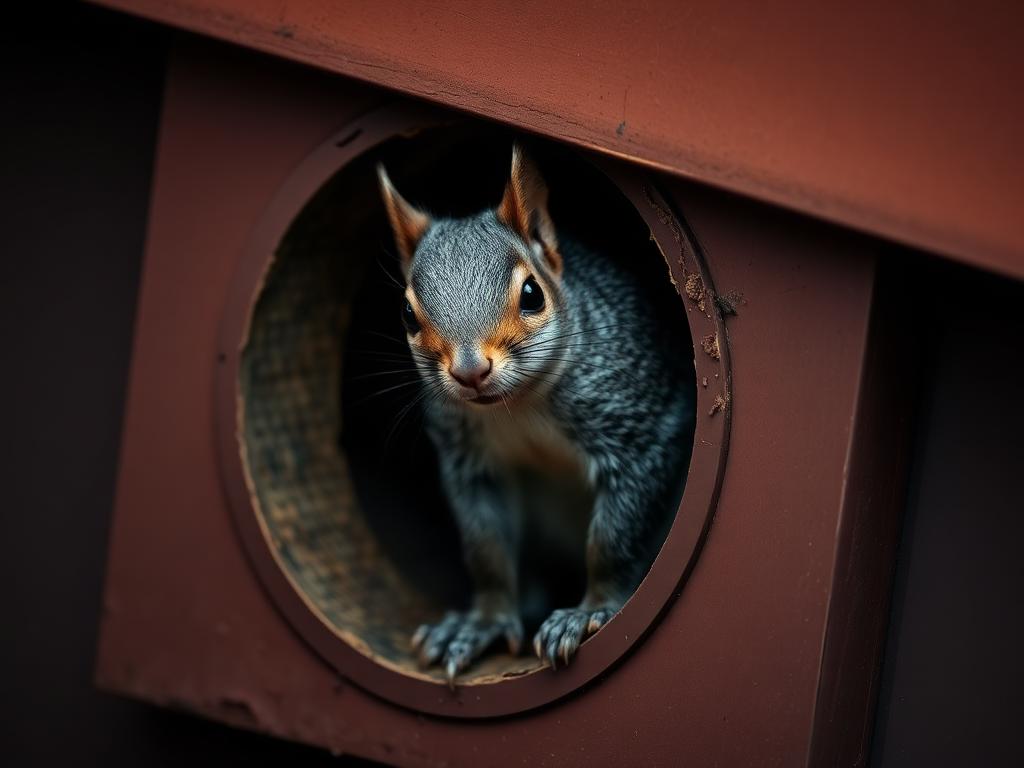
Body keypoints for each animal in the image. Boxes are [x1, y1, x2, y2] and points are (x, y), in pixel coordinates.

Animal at [376, 145, 694, 684]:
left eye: (532, 294)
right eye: (406, 314)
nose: (470, 371)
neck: (517, 406)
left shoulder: (638, 427)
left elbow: (612, 540)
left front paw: (590, 611)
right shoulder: (468, 461)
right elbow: (486, 549)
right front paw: (480, 623)